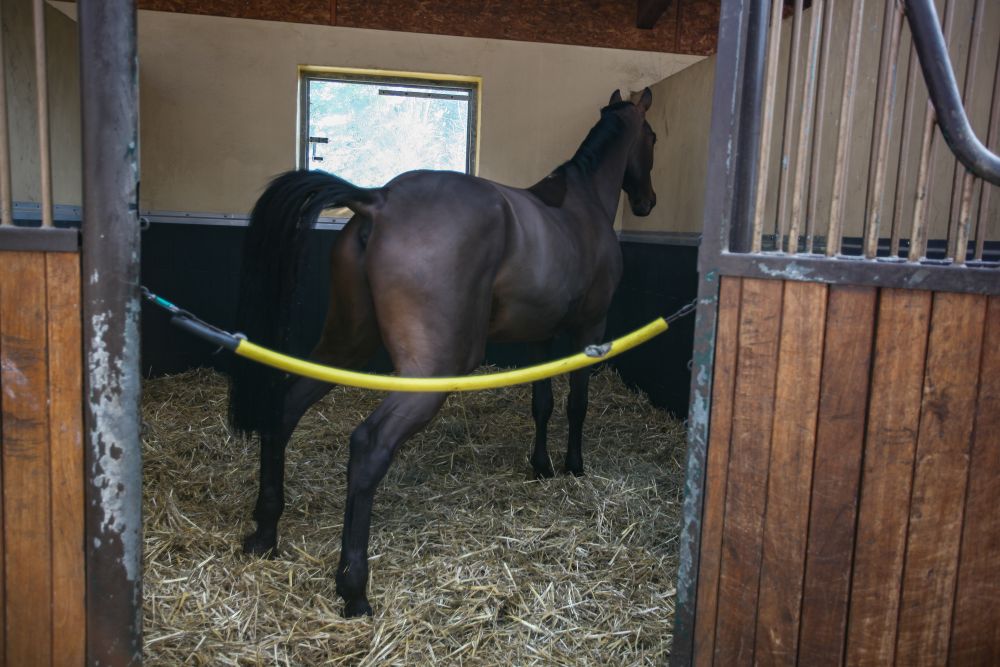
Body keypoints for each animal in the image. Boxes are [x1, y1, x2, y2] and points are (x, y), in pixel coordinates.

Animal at [228, 87, 657, 617]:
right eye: (652, 136)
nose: (647, 202)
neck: (580, 206)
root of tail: (379, 200)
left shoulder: (542, 338)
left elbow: (543, 403)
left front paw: (542, 466)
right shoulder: (588, 330)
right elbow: (577, 404)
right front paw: (573, 466)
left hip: (346, 346)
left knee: (284, 410)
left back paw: (266, 531)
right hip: (430, 373)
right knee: (369, 445)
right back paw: (354, 589)